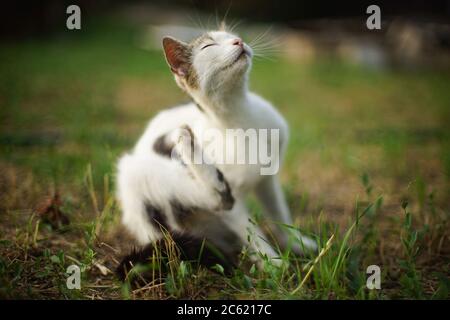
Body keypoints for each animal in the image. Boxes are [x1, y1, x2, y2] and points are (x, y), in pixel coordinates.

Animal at [116, 26, 316, 278]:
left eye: (233, 35)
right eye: (208, 46)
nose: (239, 41)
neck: (238, 118)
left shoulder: (267, 179)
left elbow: (278, 212)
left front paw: (296, 243)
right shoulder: (236, 207)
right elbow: (250, 230)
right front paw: (272, 261)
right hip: (136, 173)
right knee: (217, 199)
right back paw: (187, 145)